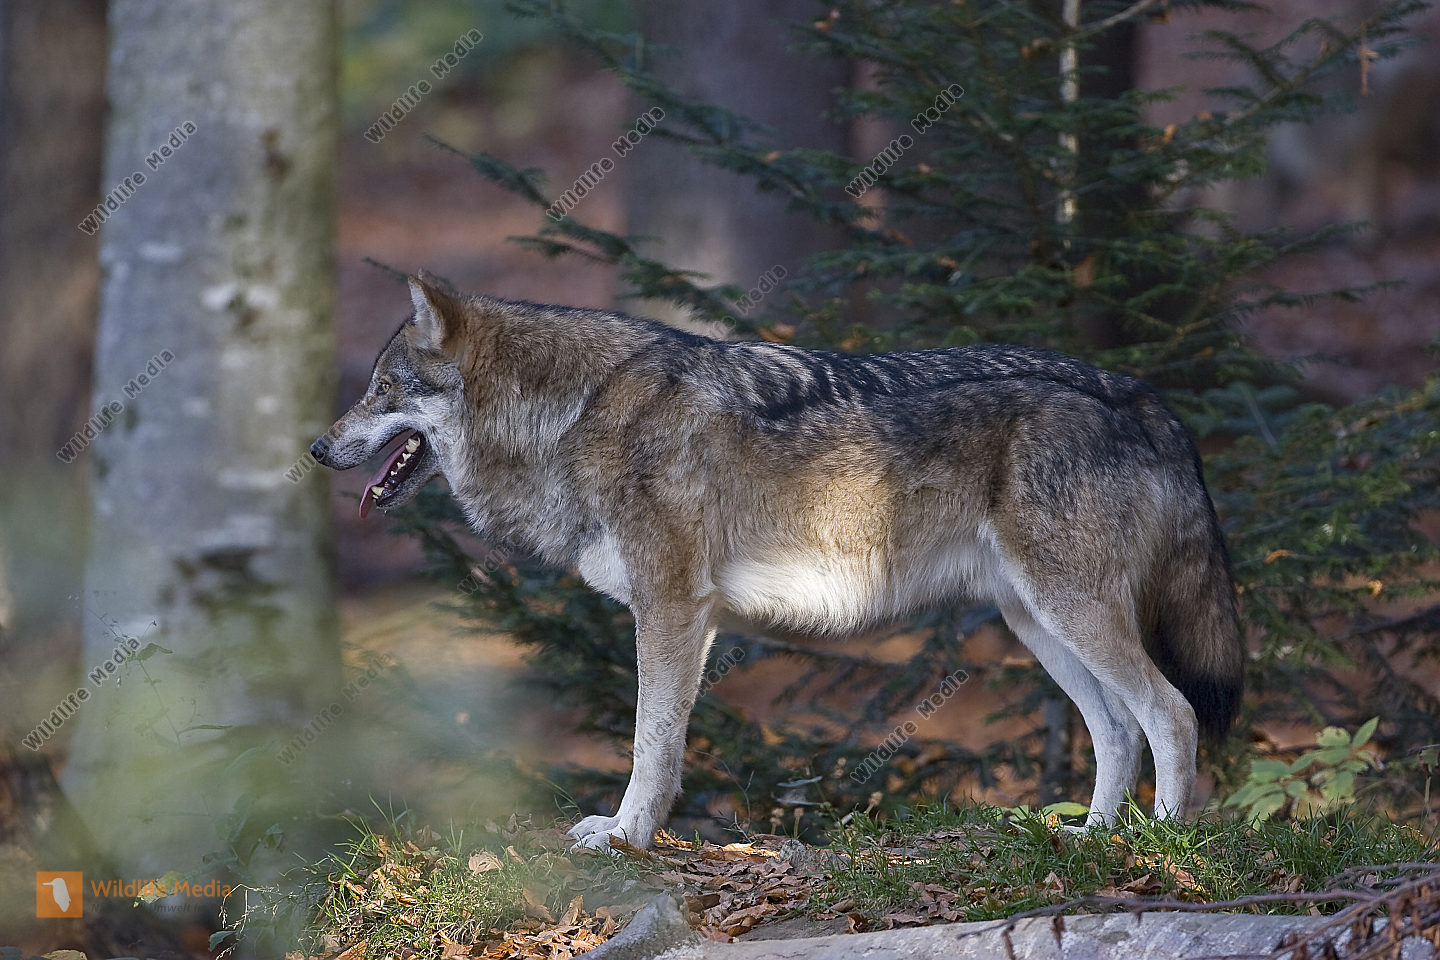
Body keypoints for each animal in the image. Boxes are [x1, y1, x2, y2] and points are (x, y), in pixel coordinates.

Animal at [310, 274, 1244, 850]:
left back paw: (1161, 845)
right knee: (1117, 728)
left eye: (382, 388)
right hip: (1039, 623)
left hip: (1071, 615)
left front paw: (627, 837)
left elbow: (651, 745)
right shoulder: (689, 618)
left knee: (1171, 714)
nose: (317, 448)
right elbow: (662, 741)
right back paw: (1093, 839)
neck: (570, 415)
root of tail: (1147, 398)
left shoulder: (673, 608)